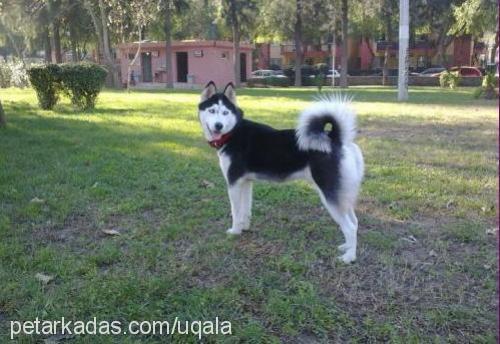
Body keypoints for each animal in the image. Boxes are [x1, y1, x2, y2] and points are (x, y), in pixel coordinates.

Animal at [197, 82, 366, 264]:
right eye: (212, 111)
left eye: (225, 113)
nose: (218, 126)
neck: (233, 132)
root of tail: (336, 139)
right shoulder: (246, 182)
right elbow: (245, 210)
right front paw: (245, 228)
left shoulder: (234, 182)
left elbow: (235, 211)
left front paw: (235, 231)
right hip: (342, 193)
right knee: (355, 222)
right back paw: (347, 247)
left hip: (330, 194)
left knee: (349, 227)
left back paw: (349, 257)